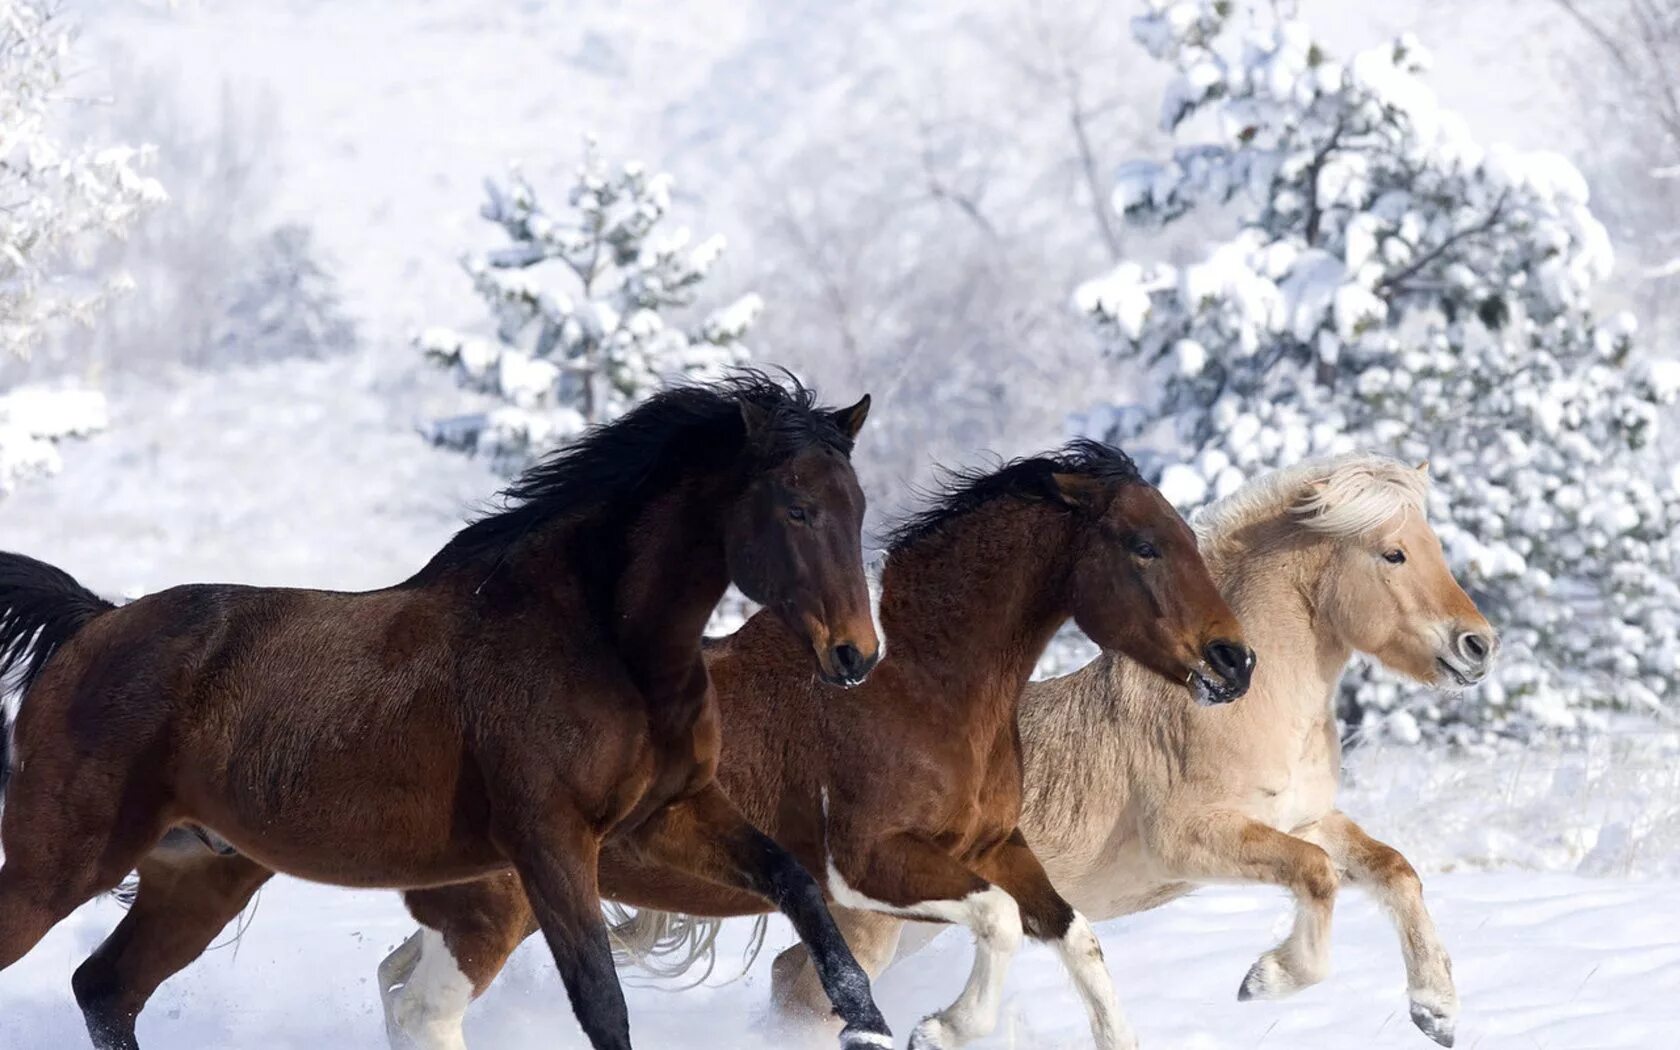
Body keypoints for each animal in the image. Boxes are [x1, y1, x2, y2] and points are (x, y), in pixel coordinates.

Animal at [0, 374, 900, 1048]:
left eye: (857, 506)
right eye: (796, 508)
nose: (856, 656)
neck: (602, 637)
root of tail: (92, 622)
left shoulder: (667, 816)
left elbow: (798, 886)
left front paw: (867, 1024)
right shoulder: (550, 842)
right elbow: (601, 1001)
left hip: (198, 875)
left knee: (106, 990)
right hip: (62, 861)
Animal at [52, 436, 1256, 1041]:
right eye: (1144, 544)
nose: (1235, 661)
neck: (919, 685)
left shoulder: (994, 848)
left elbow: (1074, 938)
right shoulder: (869, 871)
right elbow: (1000, 927)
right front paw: (943, 1029)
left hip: (478, 906)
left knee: (404, 989)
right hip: (507, 904)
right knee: (419, 1002)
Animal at [772, 456, 1498, 1048]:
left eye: (1433, 546)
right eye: (1393, 554)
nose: (1479, 646)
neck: (1244, 705)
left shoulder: (1303, 818)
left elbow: (1394, 869)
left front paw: (1436, 1012)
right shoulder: (1193, 839)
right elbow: (1317, 874)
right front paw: (1265, 980)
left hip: (917, 920)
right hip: (877, 923)